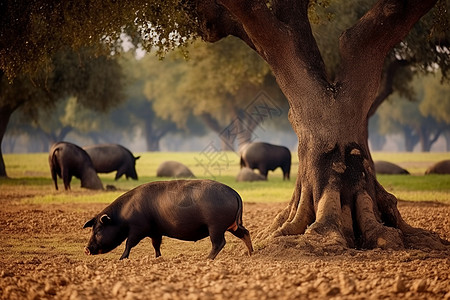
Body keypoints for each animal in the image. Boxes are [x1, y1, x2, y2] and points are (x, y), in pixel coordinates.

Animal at [82, 179, 253, 258]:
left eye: (98, 230)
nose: (86, 249)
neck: (122, 217)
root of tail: (235, 193)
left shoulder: (137, 228)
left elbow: (129, 243)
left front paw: (121, 259)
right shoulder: (155, 231)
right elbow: (156, 245)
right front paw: (158, 258)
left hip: (215, 226)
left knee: (219, 243)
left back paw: (207, 259)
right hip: (233, 225)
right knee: (245, 233)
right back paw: (251, 254)